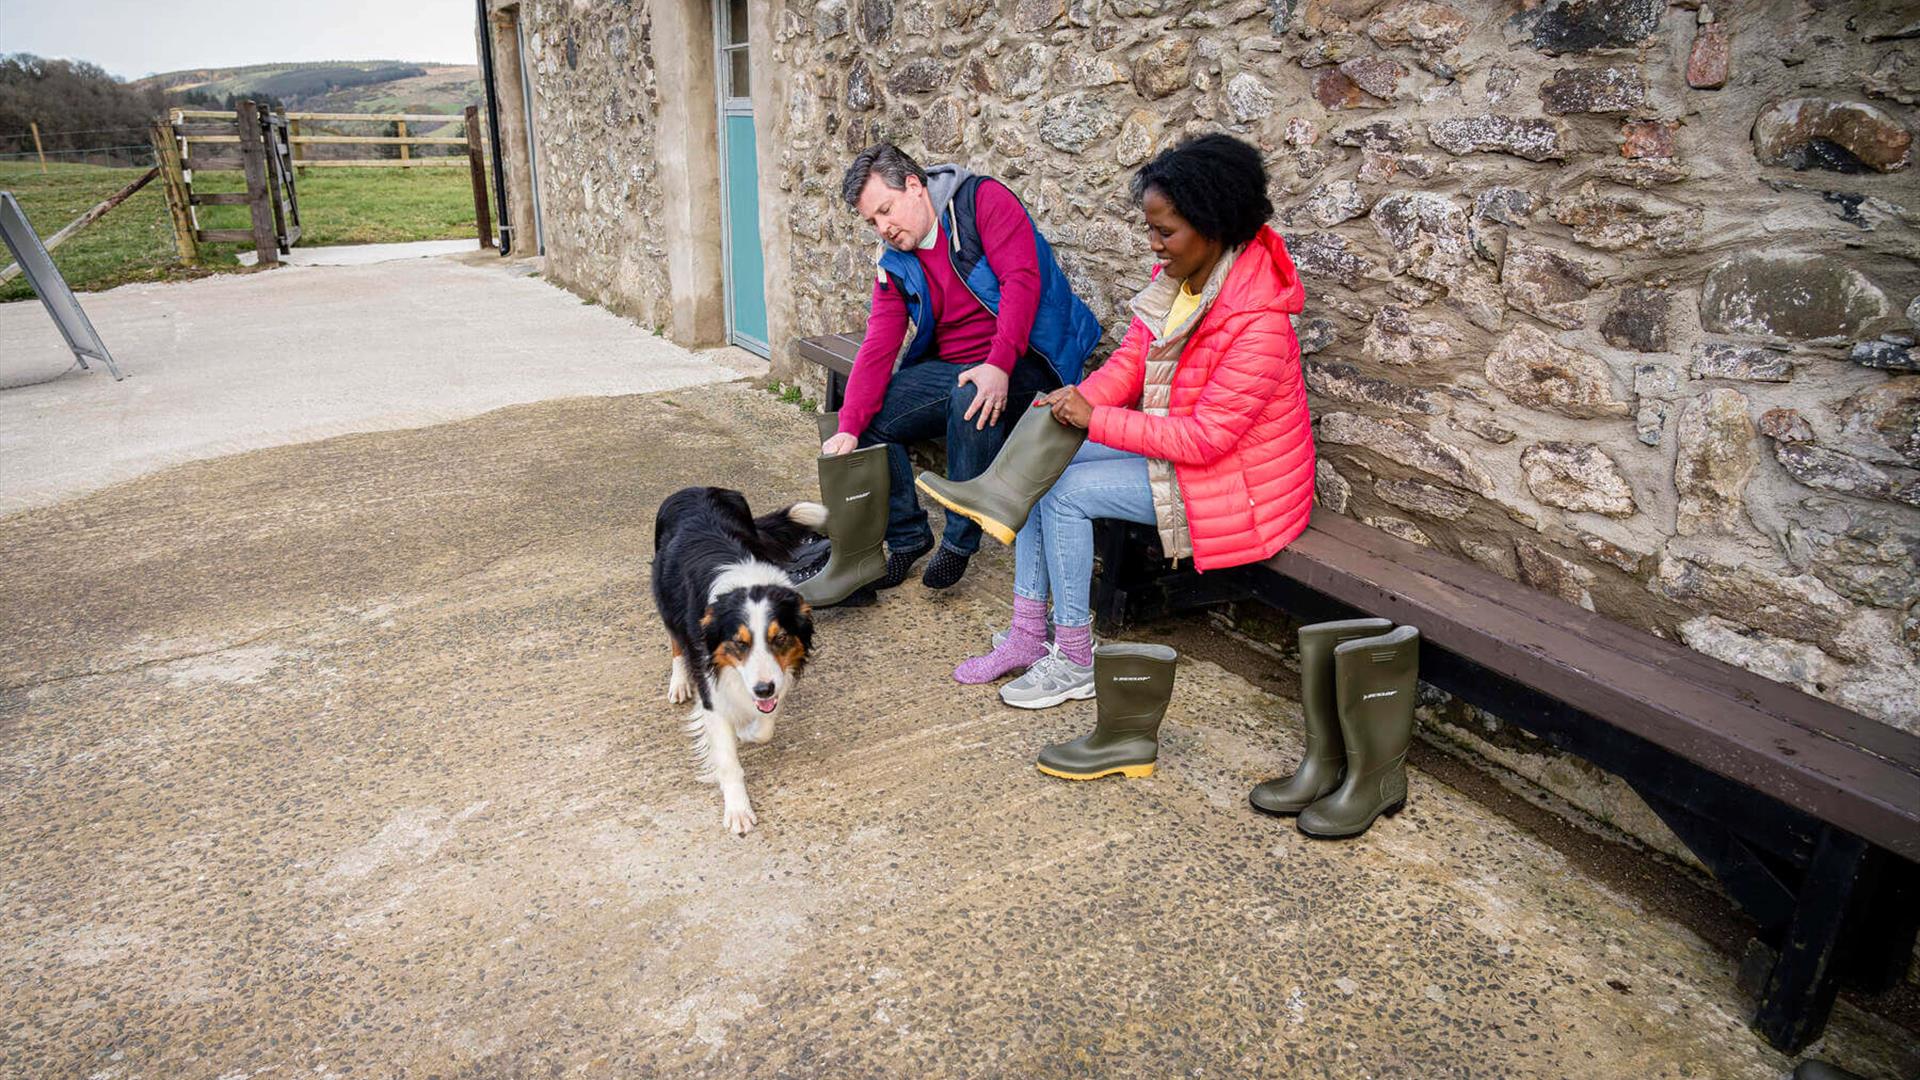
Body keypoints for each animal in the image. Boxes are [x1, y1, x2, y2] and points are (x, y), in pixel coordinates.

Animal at [652, 488, 825, 834]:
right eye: (739, 643)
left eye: (779, 638)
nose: (762, 690)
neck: (747, 584)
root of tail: (694, 488)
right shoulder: (712, 692)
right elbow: (728, 760)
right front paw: (738, 810)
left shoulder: (778, 678)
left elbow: (765, 725)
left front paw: (748, 732)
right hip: (665, 602)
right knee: (675, 642)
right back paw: (679, 682)